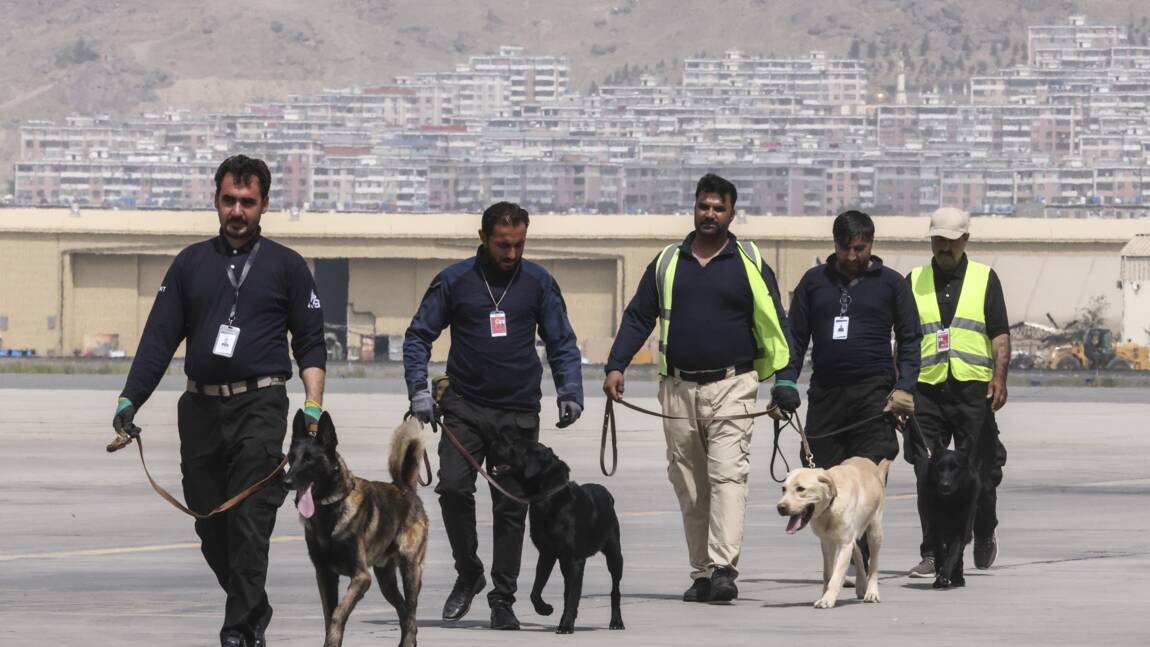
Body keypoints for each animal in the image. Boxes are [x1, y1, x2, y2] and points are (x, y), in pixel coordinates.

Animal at [285, 413, 430, 647]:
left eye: (309, 459)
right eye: (291, 457)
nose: (286, 481)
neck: (331, 510)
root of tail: (405, 488)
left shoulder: (361, 577)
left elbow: (338, 613)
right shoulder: (324, 575)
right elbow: (329, 615)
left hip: (411, 571)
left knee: (410, 612)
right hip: (385, 580)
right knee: (403, 610)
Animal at [489, 441, 625, 634]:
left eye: (516, 446)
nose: (493, 443)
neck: (548, 498)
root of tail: (607, 493)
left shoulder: (575, 559)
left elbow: (573, 596)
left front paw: (567, 625)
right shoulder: (547, 553)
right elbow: (536, 590)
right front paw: (545, 609)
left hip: (614, 553)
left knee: (615, 589)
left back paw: (616, 622)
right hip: (565, 562)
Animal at [777, 457, 892, 611]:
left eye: (801, 489)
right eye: (783, 489)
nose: (780, 507)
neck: (830, 506)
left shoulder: (844, 544)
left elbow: (836, 576)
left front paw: (827, 599)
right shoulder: (827, 543)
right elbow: (827, 574)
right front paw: (824, 596)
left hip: (875, 532)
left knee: (873, 565)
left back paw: (872, 593)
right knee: (858, 552)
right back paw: (861, 585)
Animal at [915, 443, 979, 588]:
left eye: (955, 468)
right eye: (939, 467)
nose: (945, 486)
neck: (948, 502)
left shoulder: (961, 530)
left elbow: (953, 554)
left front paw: (945, 576)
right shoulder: (935, 528)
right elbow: (939, 553)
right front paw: (940, 574)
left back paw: (957, 578)